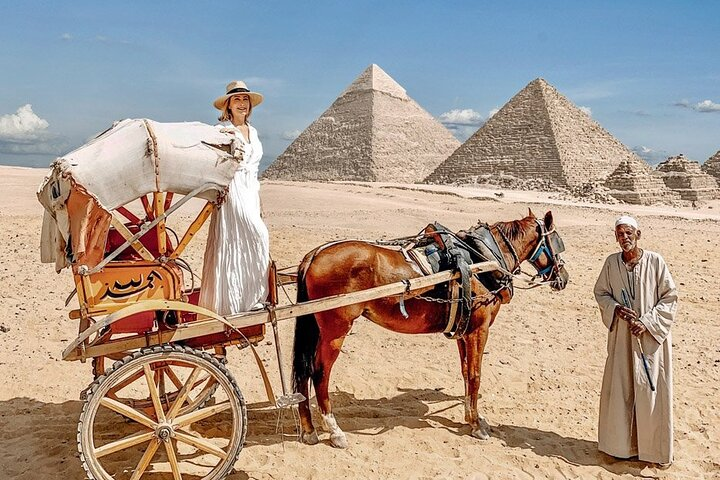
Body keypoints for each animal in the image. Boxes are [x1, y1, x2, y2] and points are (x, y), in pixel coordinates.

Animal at [291, 210, 569, 448]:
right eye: (558, 242)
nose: (563, 278)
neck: (481, 260)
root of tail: (314, 255)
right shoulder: (479, 331)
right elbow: (476, 375)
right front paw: (477, 425)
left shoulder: (463, 332)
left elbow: (465, 373)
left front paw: (470, 416)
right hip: (336, 329)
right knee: (319, 373)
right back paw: (334, 430)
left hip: (317, 326)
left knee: (303, 370)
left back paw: (309, 429)